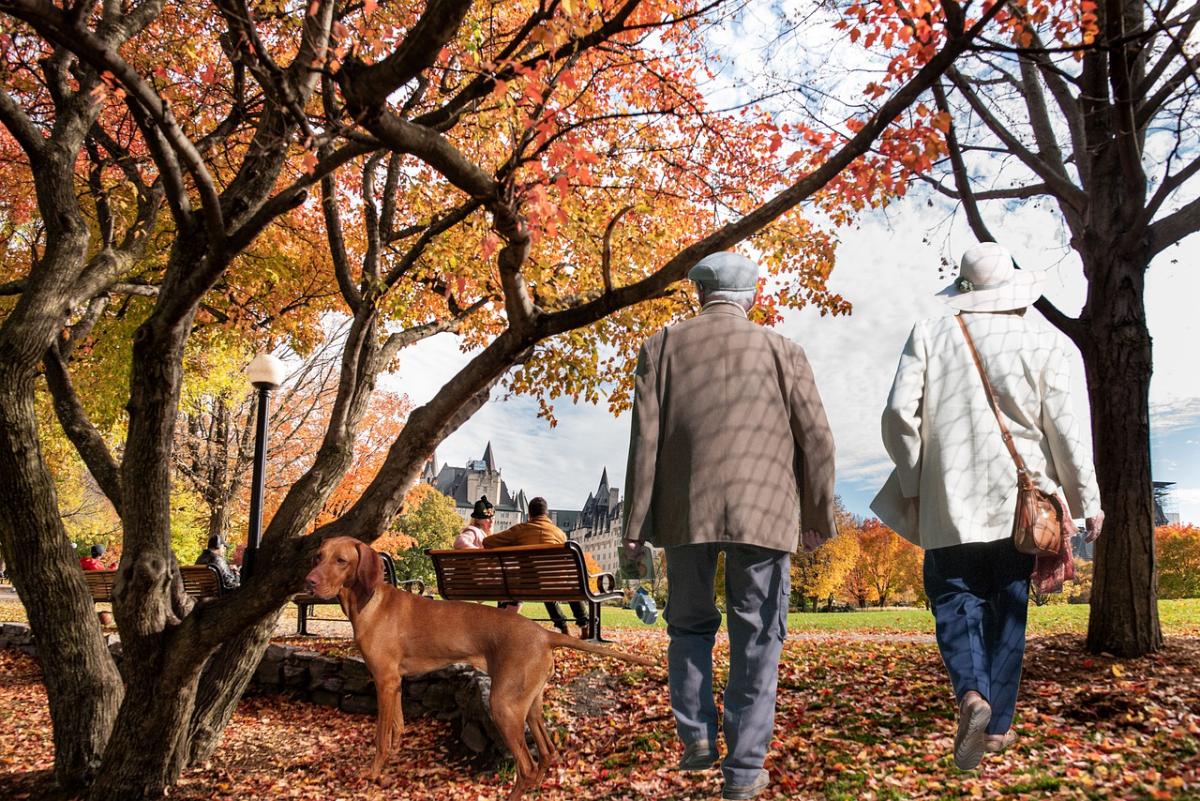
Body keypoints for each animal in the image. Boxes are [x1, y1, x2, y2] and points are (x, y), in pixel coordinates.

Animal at [304, 534, 652, 796]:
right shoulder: (396, 683)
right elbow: (397, 728)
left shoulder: (384, 680)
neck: (369, 602)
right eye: (318, 557)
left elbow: (380, 736)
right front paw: (393, 757)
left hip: (504, 705)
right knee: (547, 752)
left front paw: (373, 773)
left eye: (341, 561)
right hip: (529, 704)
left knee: (526, 766)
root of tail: (543, 633)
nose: (308, 583)